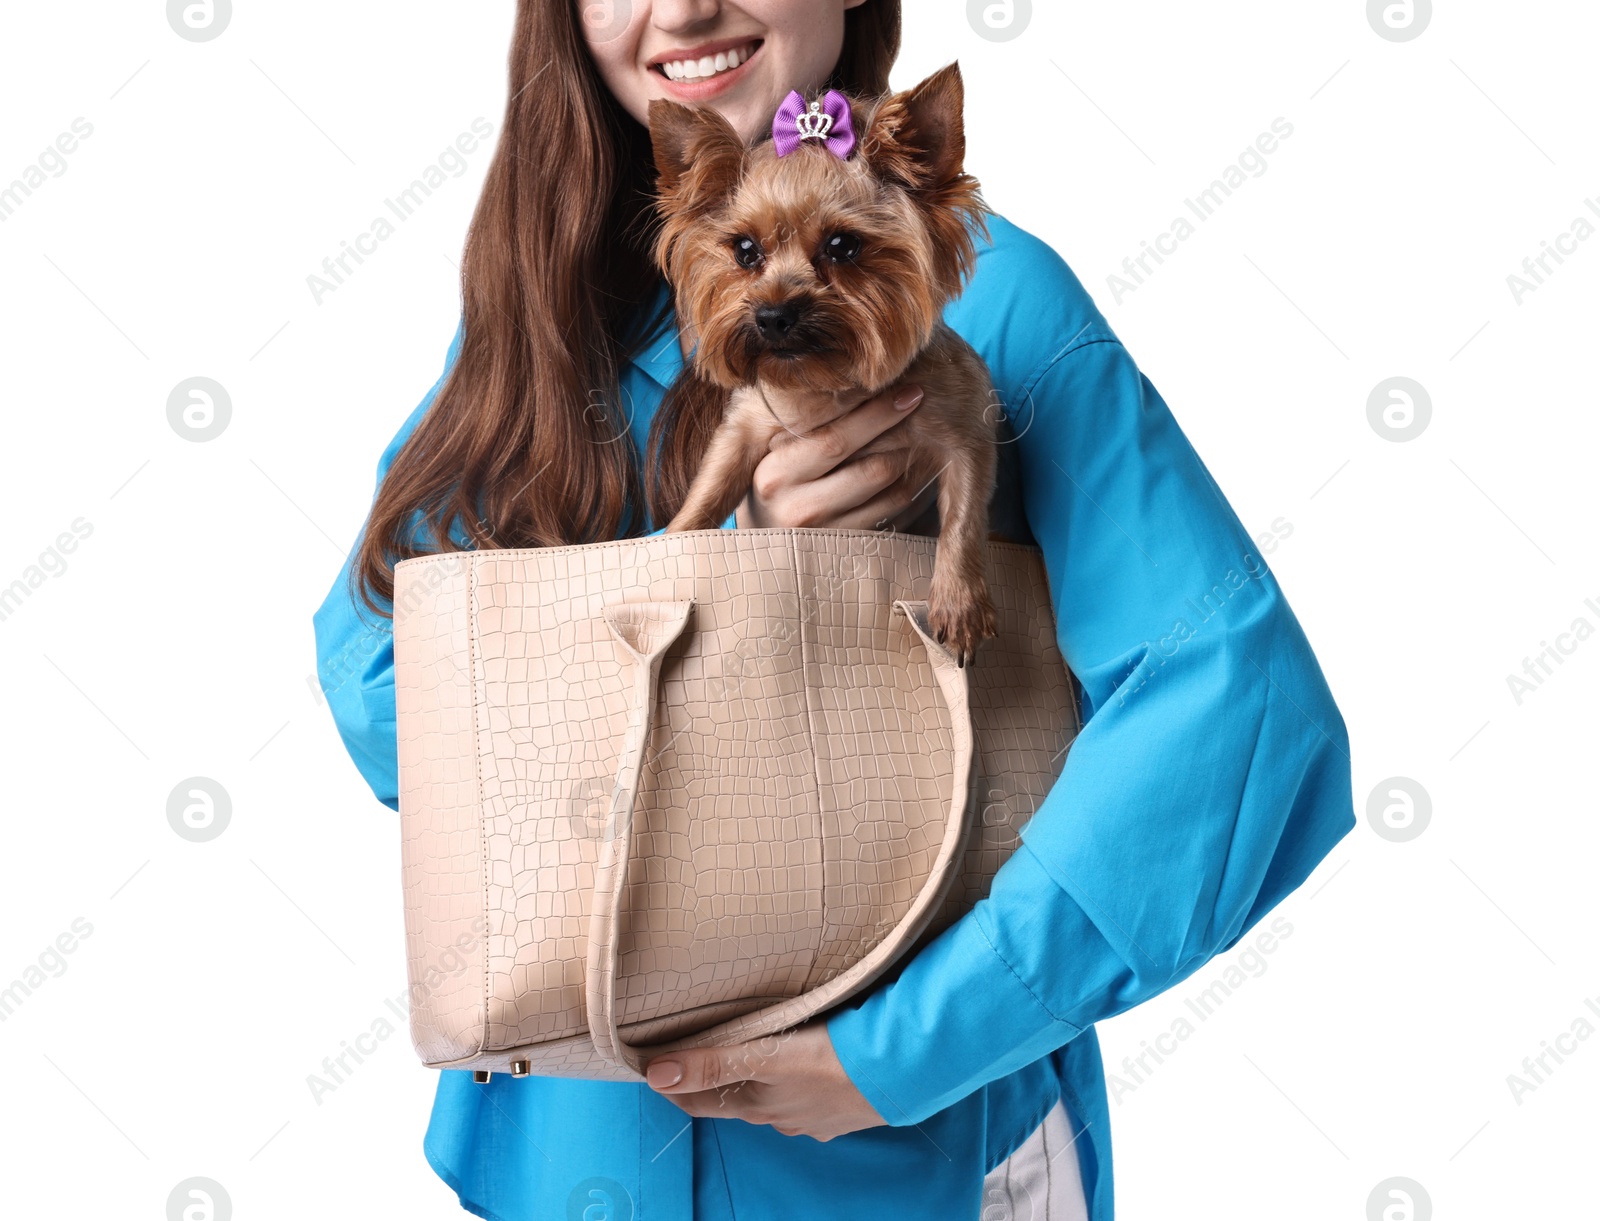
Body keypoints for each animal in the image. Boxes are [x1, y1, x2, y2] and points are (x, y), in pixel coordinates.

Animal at [643, 62, 992, 662]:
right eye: (745, 251)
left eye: (843, 245)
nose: (773, 315)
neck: (823, 384)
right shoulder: (744, 429)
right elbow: (710, 487)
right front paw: (676, 541)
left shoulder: (966, 428)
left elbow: (964, 516)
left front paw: (958, 603)